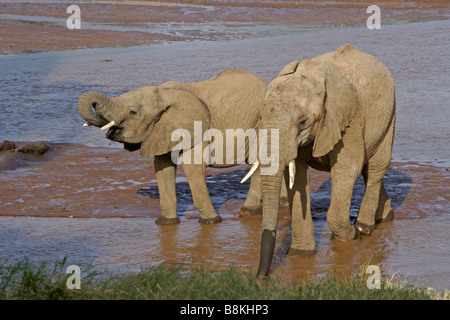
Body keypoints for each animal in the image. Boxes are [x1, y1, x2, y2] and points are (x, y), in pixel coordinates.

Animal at [79, 69, 284, 225]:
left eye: (133, 112)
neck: (162, 93)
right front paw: (165, 223)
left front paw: (212, 222)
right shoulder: (161, 129)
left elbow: (192, 167)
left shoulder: (197, 129)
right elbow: (162, 167)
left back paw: (248, 212)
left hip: (263, 124)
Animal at [244, 44, 396, 278]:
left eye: (302, 122)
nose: (260, 277)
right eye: (261, 117)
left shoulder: (350, 118)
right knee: (368, 170)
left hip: (389, 117)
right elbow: (296, 177)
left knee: (376, 168)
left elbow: (346, 167)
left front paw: (352, 235)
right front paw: (301, 254)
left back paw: (364, 227)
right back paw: (386, 217)